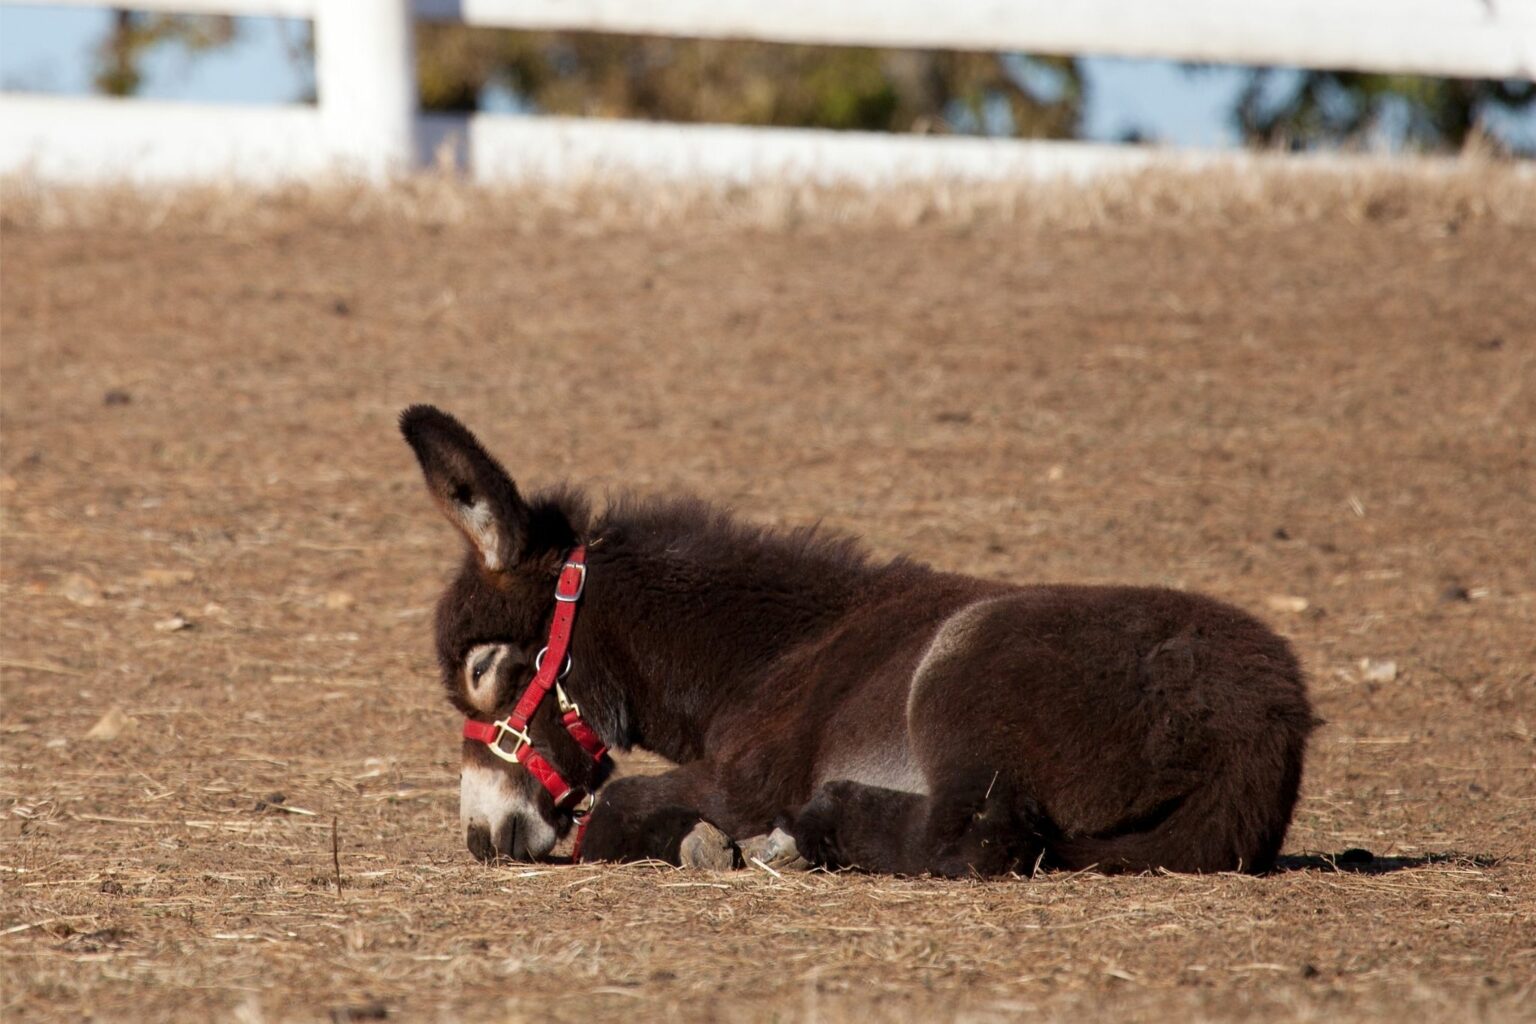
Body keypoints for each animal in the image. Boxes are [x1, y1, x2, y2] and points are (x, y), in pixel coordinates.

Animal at [400, 404, 1317, 875]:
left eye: (486, 668)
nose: (480, 836)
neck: (765, 657)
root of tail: (1265, 725)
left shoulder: (750, 776)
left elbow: (621, 805)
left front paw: (706, 840)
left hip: (961, 674)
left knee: (980, 837)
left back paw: (814, 827)